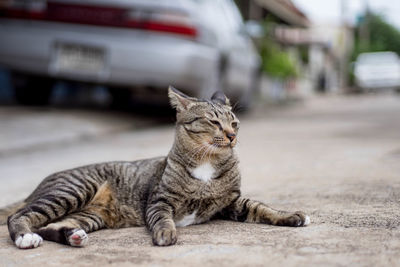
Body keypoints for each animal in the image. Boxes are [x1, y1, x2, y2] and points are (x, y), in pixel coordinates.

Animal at [0, 87, 310, 250]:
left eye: (234, 122)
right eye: (213, 122)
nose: (233, 135)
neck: (207, 164)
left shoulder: (231, 202)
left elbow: (261, 207)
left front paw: (291, 216)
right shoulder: (160, 201)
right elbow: (162, 218)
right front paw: (166, 233)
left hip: (89, 215)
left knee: (51, 225)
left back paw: (72, 236)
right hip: (72, 190)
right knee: (20, 216)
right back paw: (25, 236)